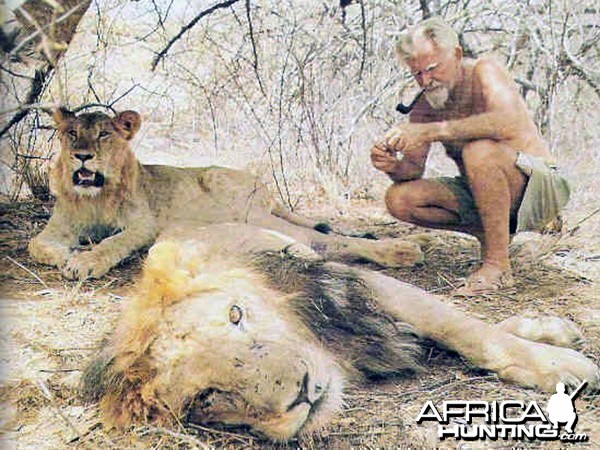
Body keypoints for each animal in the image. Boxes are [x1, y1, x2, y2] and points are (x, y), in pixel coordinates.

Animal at [27, 107, 422, 280]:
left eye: (104, 134)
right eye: (72, 133)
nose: (82, 155)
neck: (94, 195)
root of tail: (266, 191)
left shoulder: (144, 226)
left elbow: (114, 241)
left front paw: (86, 260)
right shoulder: (57, 227)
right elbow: (37, 245)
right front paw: (68, 253)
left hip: (237, 198)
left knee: (324, 240)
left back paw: (402, 251)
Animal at [83, 223, 600, 442]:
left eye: (235, 315)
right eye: (208, 397)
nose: (302, 392)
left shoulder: (358, 289)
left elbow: (463, 327)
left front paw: (557, 366)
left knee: (344, 241)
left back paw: (407, 247)